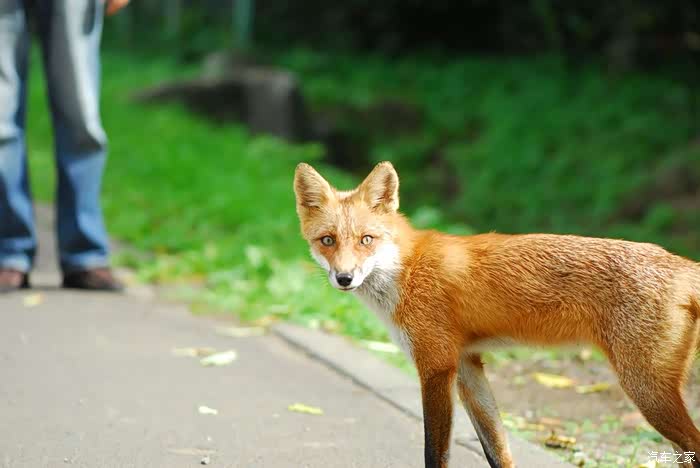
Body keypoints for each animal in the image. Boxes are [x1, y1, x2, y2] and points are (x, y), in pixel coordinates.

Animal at [293, 161, 700, 468]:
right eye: (327, 240)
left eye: (367, 239)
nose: (344, 278)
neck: (407, 269)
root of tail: (683, 263)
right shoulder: (467, 366)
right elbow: (498, 450)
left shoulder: (436, 366)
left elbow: (435, 453)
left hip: (647, 390)